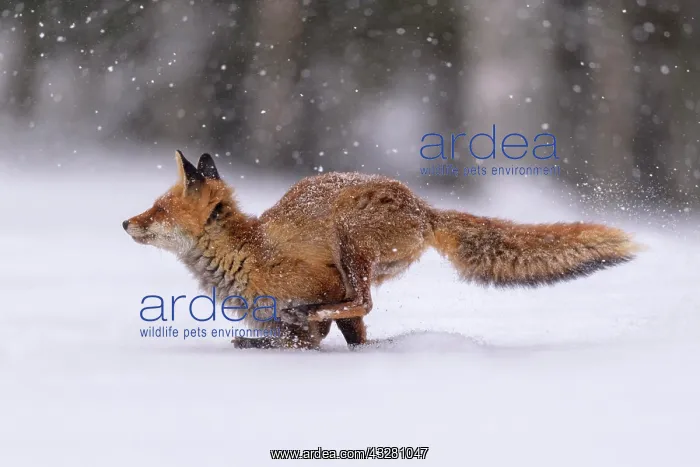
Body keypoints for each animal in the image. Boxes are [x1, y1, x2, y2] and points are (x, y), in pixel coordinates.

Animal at [124, 150, 639, 350]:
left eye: (158, 210)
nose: (125, 222)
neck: (249, 252)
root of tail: (422, 206)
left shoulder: (325, 282)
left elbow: (318, 331)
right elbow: (321, 340)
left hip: (350, 244)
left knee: (363, 300)